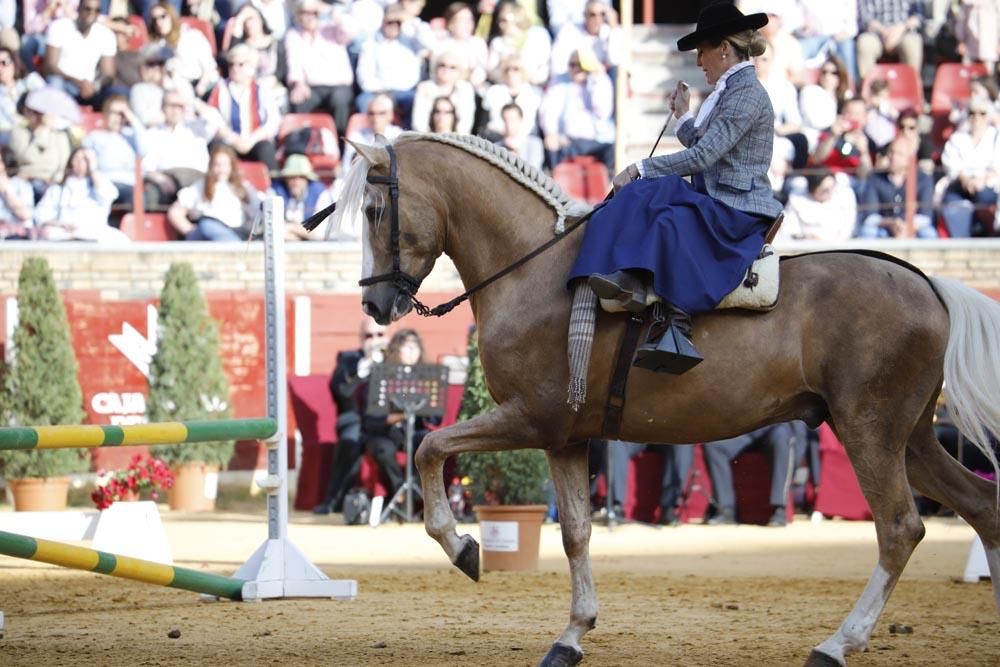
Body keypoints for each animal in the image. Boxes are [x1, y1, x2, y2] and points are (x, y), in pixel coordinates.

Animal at [336, 133, 1000, 664]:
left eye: (373, 210)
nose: (372, 304)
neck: (537, 273)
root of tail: (929, 285)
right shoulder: (565, 437)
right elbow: (576, 531)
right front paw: (572, 635)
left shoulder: (528, 418)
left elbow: (429, 445)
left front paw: (463, 547)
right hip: (910, 439)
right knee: (981, 506)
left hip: (870, 431)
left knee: (899, 527)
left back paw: (839, 643)